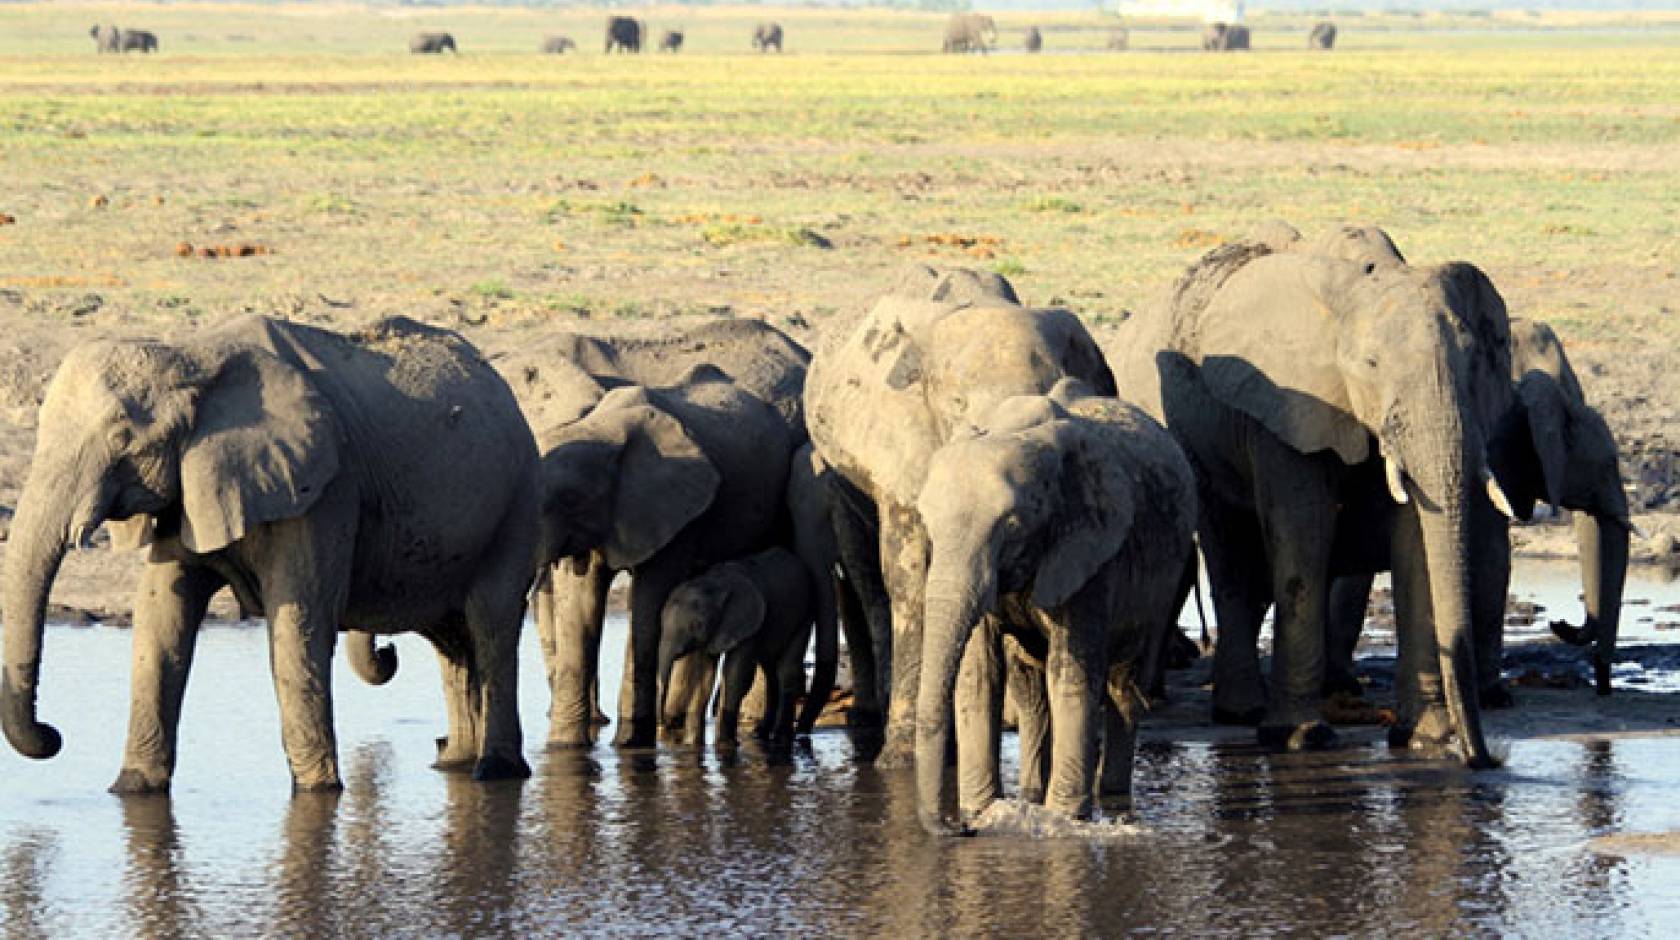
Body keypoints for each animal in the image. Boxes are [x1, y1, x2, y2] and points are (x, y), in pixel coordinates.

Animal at [0, 316, 539, 792]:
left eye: (121, 438)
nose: (53, 735)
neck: (193, 355)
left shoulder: (325, 488)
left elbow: (299, 623)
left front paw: (318, 793)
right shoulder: (190, 486)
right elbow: (162, 619)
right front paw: (131, 789)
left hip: (516, 502)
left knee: (491, 624)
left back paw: (494, 771)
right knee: (453, 641)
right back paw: (454, 763)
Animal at [658, 547, 816, 747]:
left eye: (697, 625)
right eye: (661, 622)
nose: (666, 723)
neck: (714, 585)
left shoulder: (748, 623)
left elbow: (736, 675)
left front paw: (725, 744)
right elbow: (703, 678)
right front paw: (692, 745)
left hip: (805, 612)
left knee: (787, 670)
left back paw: (780, 738)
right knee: (770, 671)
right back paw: (760, 733)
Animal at [805, 264, 1117, 765]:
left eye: (1047, 390)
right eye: (957, 405)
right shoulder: (900, 438)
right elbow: (910, 577)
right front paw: (903, 759)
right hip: (838, 468)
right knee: (867, 577)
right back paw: (869, 719)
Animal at [914, 380, 1198, 834]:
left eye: (1012, 526)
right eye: (927, 524)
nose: (955, 827)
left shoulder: (1092, 551)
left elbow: (1072, 676)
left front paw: (1064, 820)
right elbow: (981, 677)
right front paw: (985, 812)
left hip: (1163, 580)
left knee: (1124, 680)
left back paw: (1110, 799)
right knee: (1029, 685)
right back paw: (1032, 794)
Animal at [1109, 223, 1512, 767]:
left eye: (1472, 365)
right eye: (1371, 364)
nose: (1484, 759)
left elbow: (1415, 542)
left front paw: (1424, 739)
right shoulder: (1287, 403)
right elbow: (1302, 531)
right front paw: (1300, 737)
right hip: (1189, 434)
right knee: (1228, 553)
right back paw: (1242, 711)